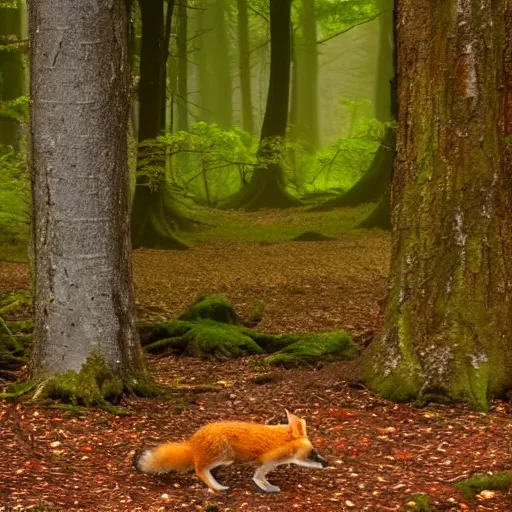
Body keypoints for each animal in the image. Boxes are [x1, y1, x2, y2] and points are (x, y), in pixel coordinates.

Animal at [134, 408, 330, 492]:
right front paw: (267, 488)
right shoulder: (268, 462)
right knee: (199, 469)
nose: (327, 463)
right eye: (313, 453)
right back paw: (217, 487)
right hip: (225, 456)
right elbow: (258, 477)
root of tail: (193, 442)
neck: (285, 442)